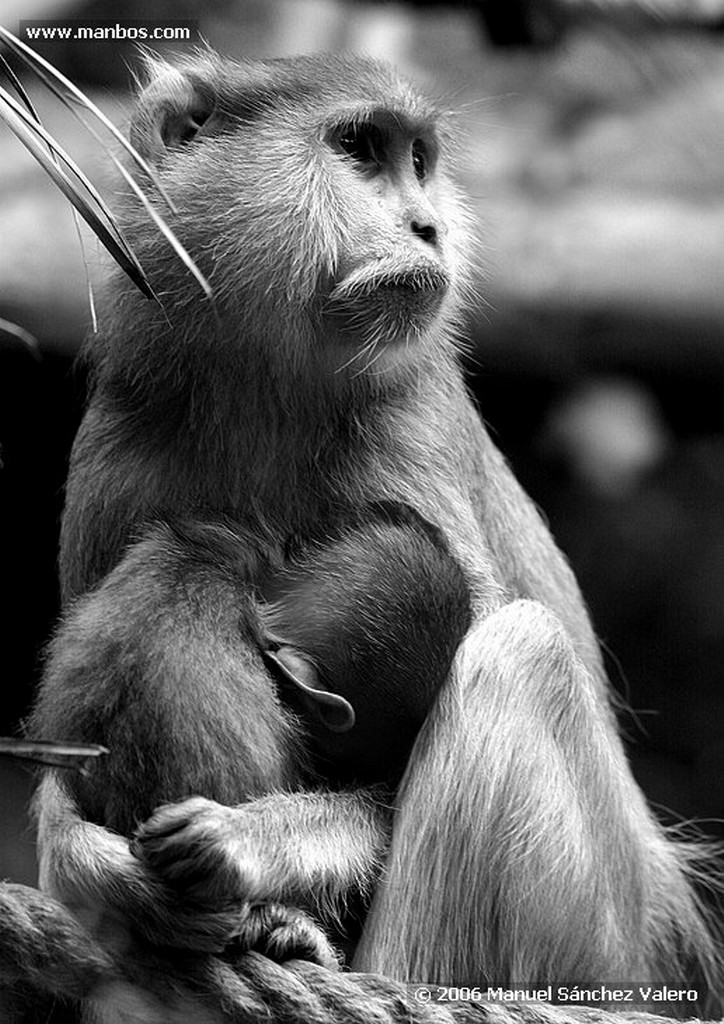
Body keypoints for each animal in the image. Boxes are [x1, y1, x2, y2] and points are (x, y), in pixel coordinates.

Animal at [17, 49, 720, 1024]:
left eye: (418, 160)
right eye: (360, 149)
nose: (427, 225)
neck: (265, 390)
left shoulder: (406, 428)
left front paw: (247, 845)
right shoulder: (116, 446)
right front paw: (95, 868)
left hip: (597, 941)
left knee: (522, 654)